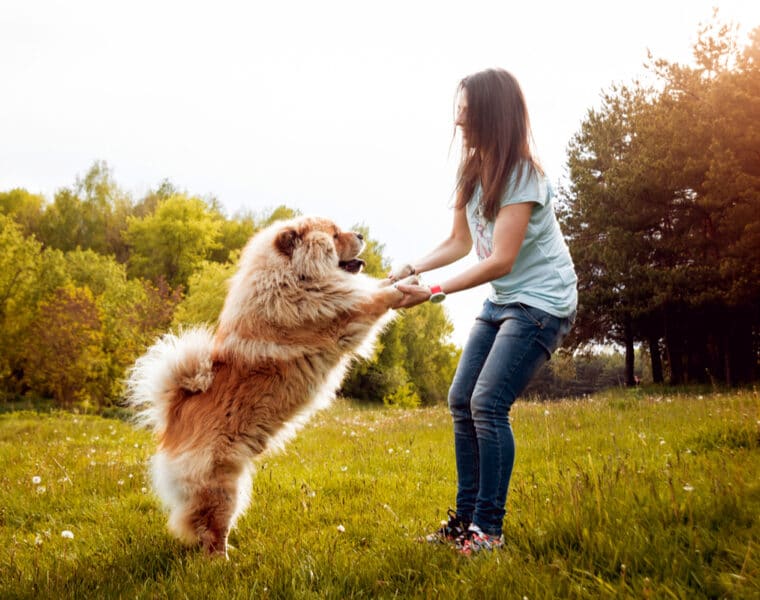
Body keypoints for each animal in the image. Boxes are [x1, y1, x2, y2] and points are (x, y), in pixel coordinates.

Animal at [126, 216, 416, 556]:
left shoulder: (345, 295)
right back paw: (224, 560)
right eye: (333, 235)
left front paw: (406, 271)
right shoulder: (343, 314)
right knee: (212, 530)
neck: (294, 278)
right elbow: (377, 298)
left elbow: (373, 286)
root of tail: (175, 415)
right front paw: (409, 288)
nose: (359, 234)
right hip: (223, 487)